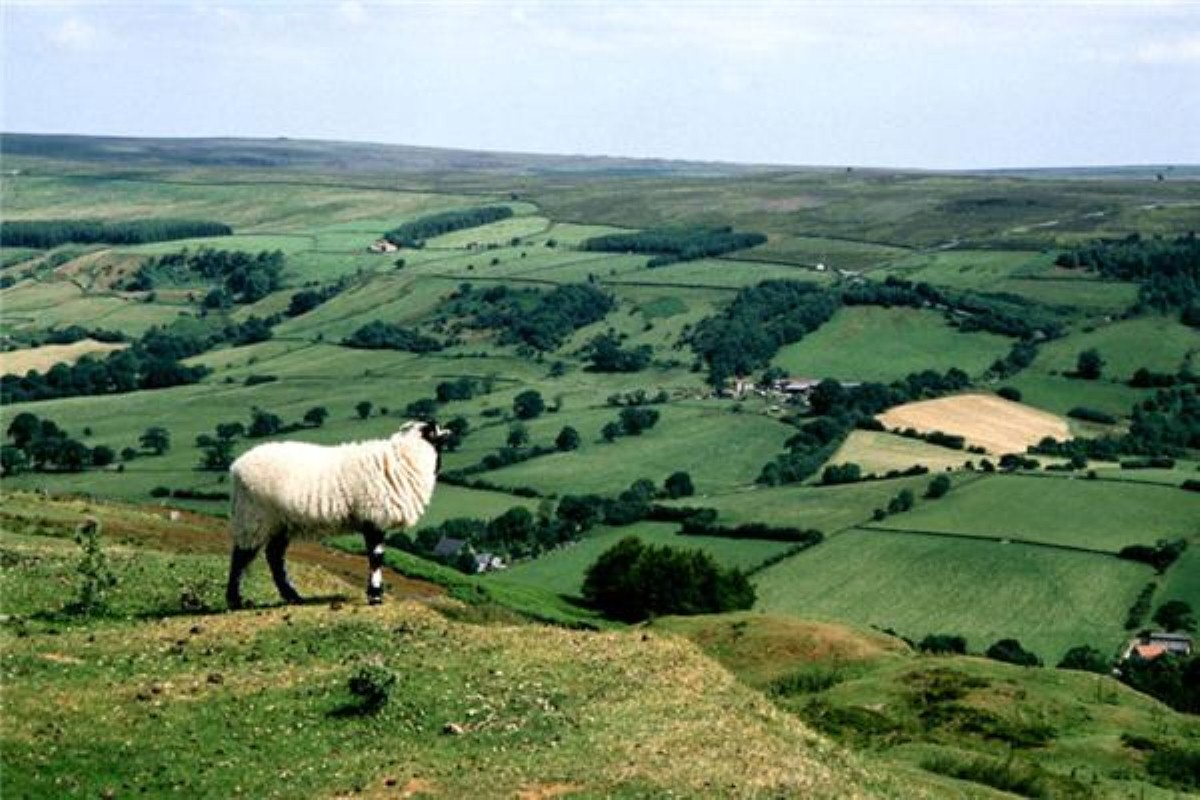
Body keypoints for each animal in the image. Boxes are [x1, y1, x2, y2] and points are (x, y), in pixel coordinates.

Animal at [225, 419, 451, 606]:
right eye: (436, 429)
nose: (450, 431)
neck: (405, 458)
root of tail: (236, 467)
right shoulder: (374, 517)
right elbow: (376, 557)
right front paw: (375, 595)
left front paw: (375, 593)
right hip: (255, 516)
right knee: (241, 556)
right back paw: (235, 600)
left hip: (281, 522)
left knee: (274, 556)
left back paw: (292, 596)